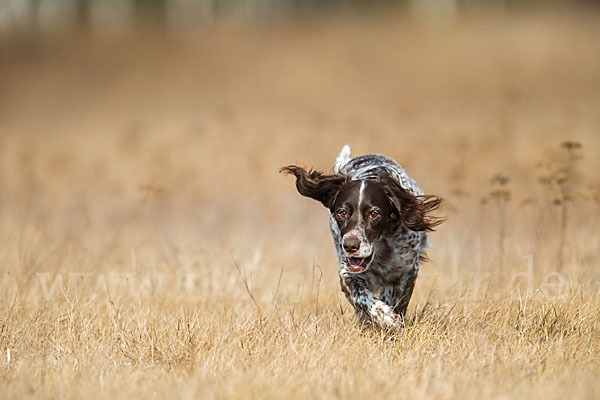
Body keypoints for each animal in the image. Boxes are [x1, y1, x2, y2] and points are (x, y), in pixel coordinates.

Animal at [278, 145, 442, 330]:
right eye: (342, 212)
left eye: (374, 214)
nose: (350, 246)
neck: (382, 248)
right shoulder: (347, 273)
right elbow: (361, 298)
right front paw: (385, 317)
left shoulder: (407, 270)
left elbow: (399, 302)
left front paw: (393, 321)